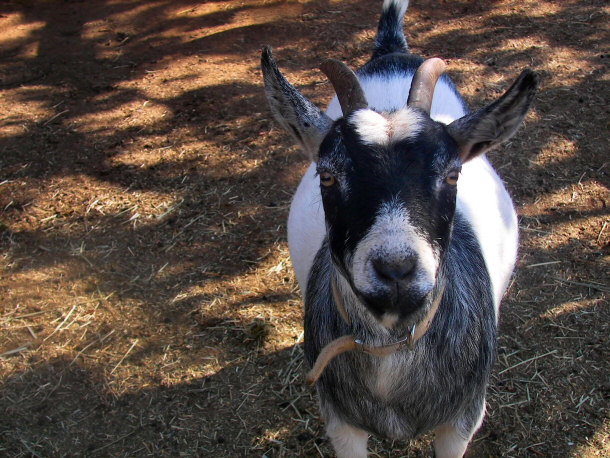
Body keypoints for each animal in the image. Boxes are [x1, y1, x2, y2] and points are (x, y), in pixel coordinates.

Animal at [258, 0, 536, 458]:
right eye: (327, 175)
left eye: (453, 174)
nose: (396, 269)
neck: (391, 347)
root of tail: (391, 50)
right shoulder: (341, 423)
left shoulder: (462, 422)